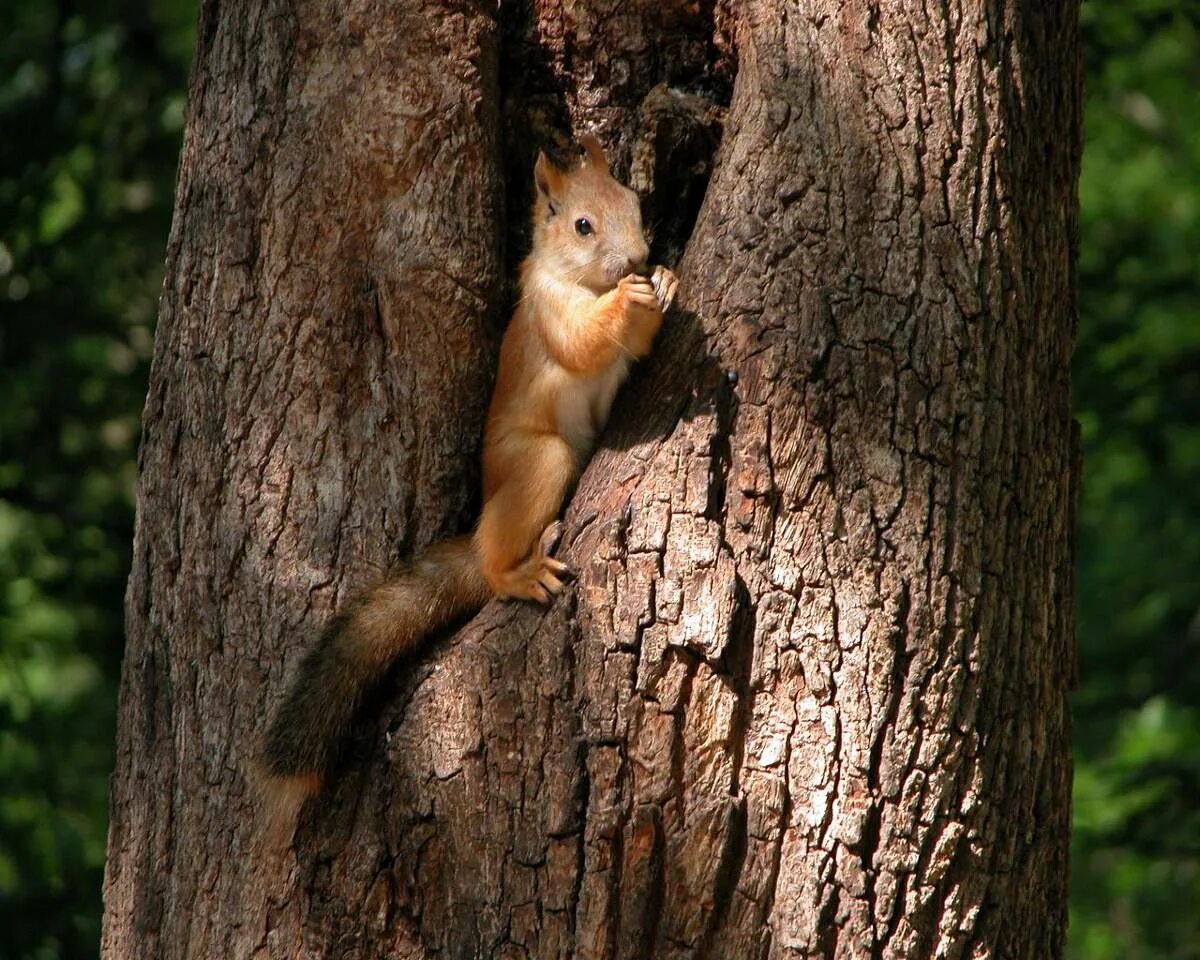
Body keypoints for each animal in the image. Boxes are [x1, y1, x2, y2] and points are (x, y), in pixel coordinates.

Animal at [254, 133, 681, 840]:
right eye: (582, 224)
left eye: (633, 202)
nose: (638, 258)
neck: (579, 279)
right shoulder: (546, 310)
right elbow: (583, 342)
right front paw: (631, 298)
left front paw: (666, 281)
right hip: (541, 460)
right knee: (494, 552)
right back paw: (517, 571)